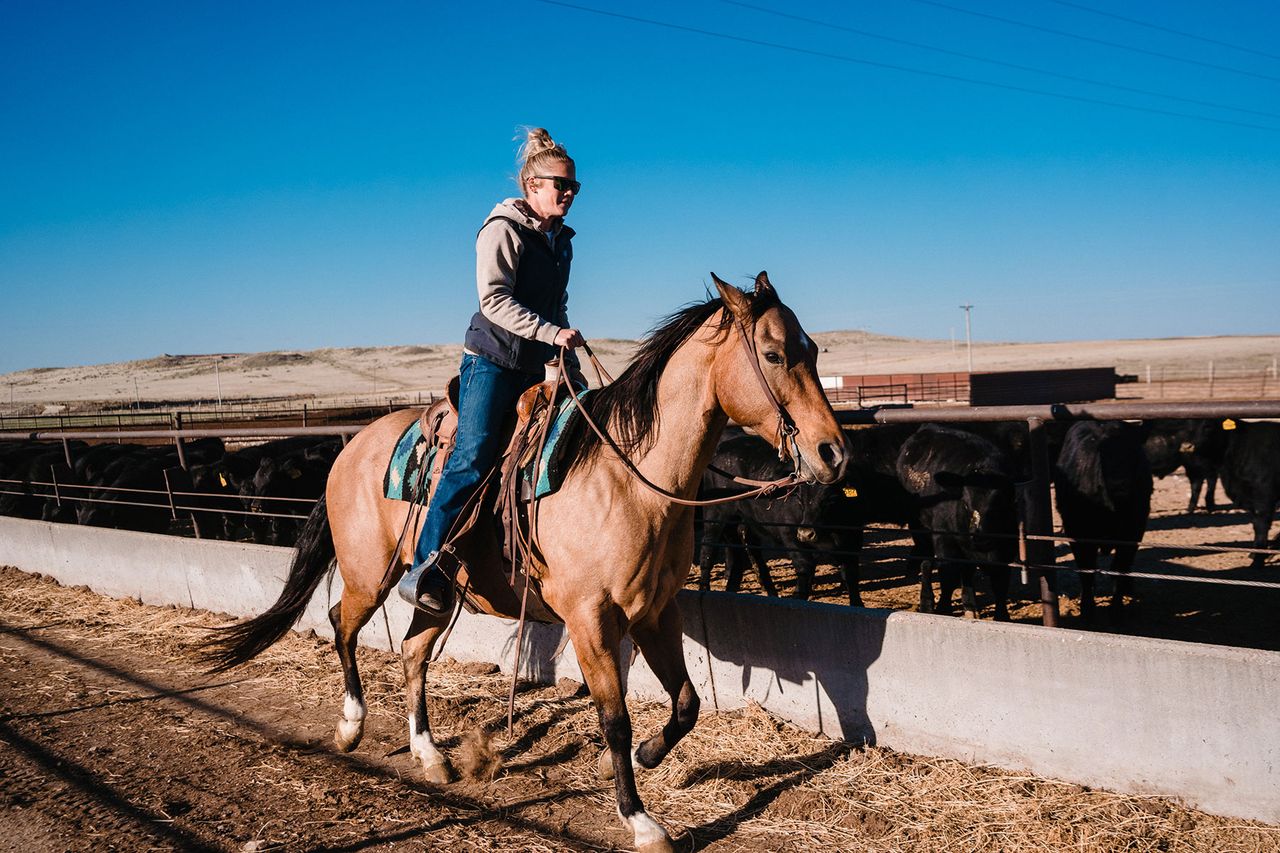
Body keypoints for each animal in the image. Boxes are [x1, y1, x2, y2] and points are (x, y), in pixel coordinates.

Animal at [896, 424, 1018, 621]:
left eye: (1000, 504)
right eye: (966, 504)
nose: (981, 537)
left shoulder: (1007, 546)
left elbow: (1000, 581)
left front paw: (1002, 617)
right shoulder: (945, 540)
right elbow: (948, 576)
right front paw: (943, 610)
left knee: (967, 570)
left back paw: (970, 605)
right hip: (920, 529)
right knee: (927, 563)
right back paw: (926, 602)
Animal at [1054, 420, 1153, 622]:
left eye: (1133, 456)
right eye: (1103, 457)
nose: (1121, 486)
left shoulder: (1133, 532)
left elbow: (1119, 568)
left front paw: (1116, 610)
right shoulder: (1077, 532)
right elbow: (1087, 570)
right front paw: (1087, 610)